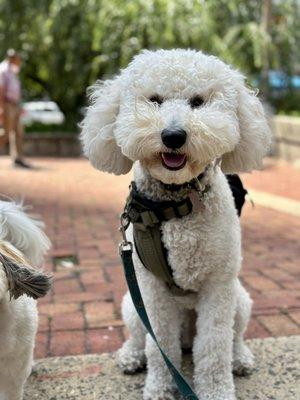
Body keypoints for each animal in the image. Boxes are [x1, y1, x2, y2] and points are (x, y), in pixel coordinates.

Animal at [81, 50, 270, 400]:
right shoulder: (152, 291)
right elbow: (160, 347)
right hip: (132, 304)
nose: (173, 136)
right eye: (154, 100)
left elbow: (214, 347)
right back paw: (131, 356)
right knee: (141, 337)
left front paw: (217, 391)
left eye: (198, 102)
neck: (175, 204)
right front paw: (159, 388)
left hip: (240, 300)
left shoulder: (218, 286)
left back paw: (240, 358)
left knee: (233, 337)